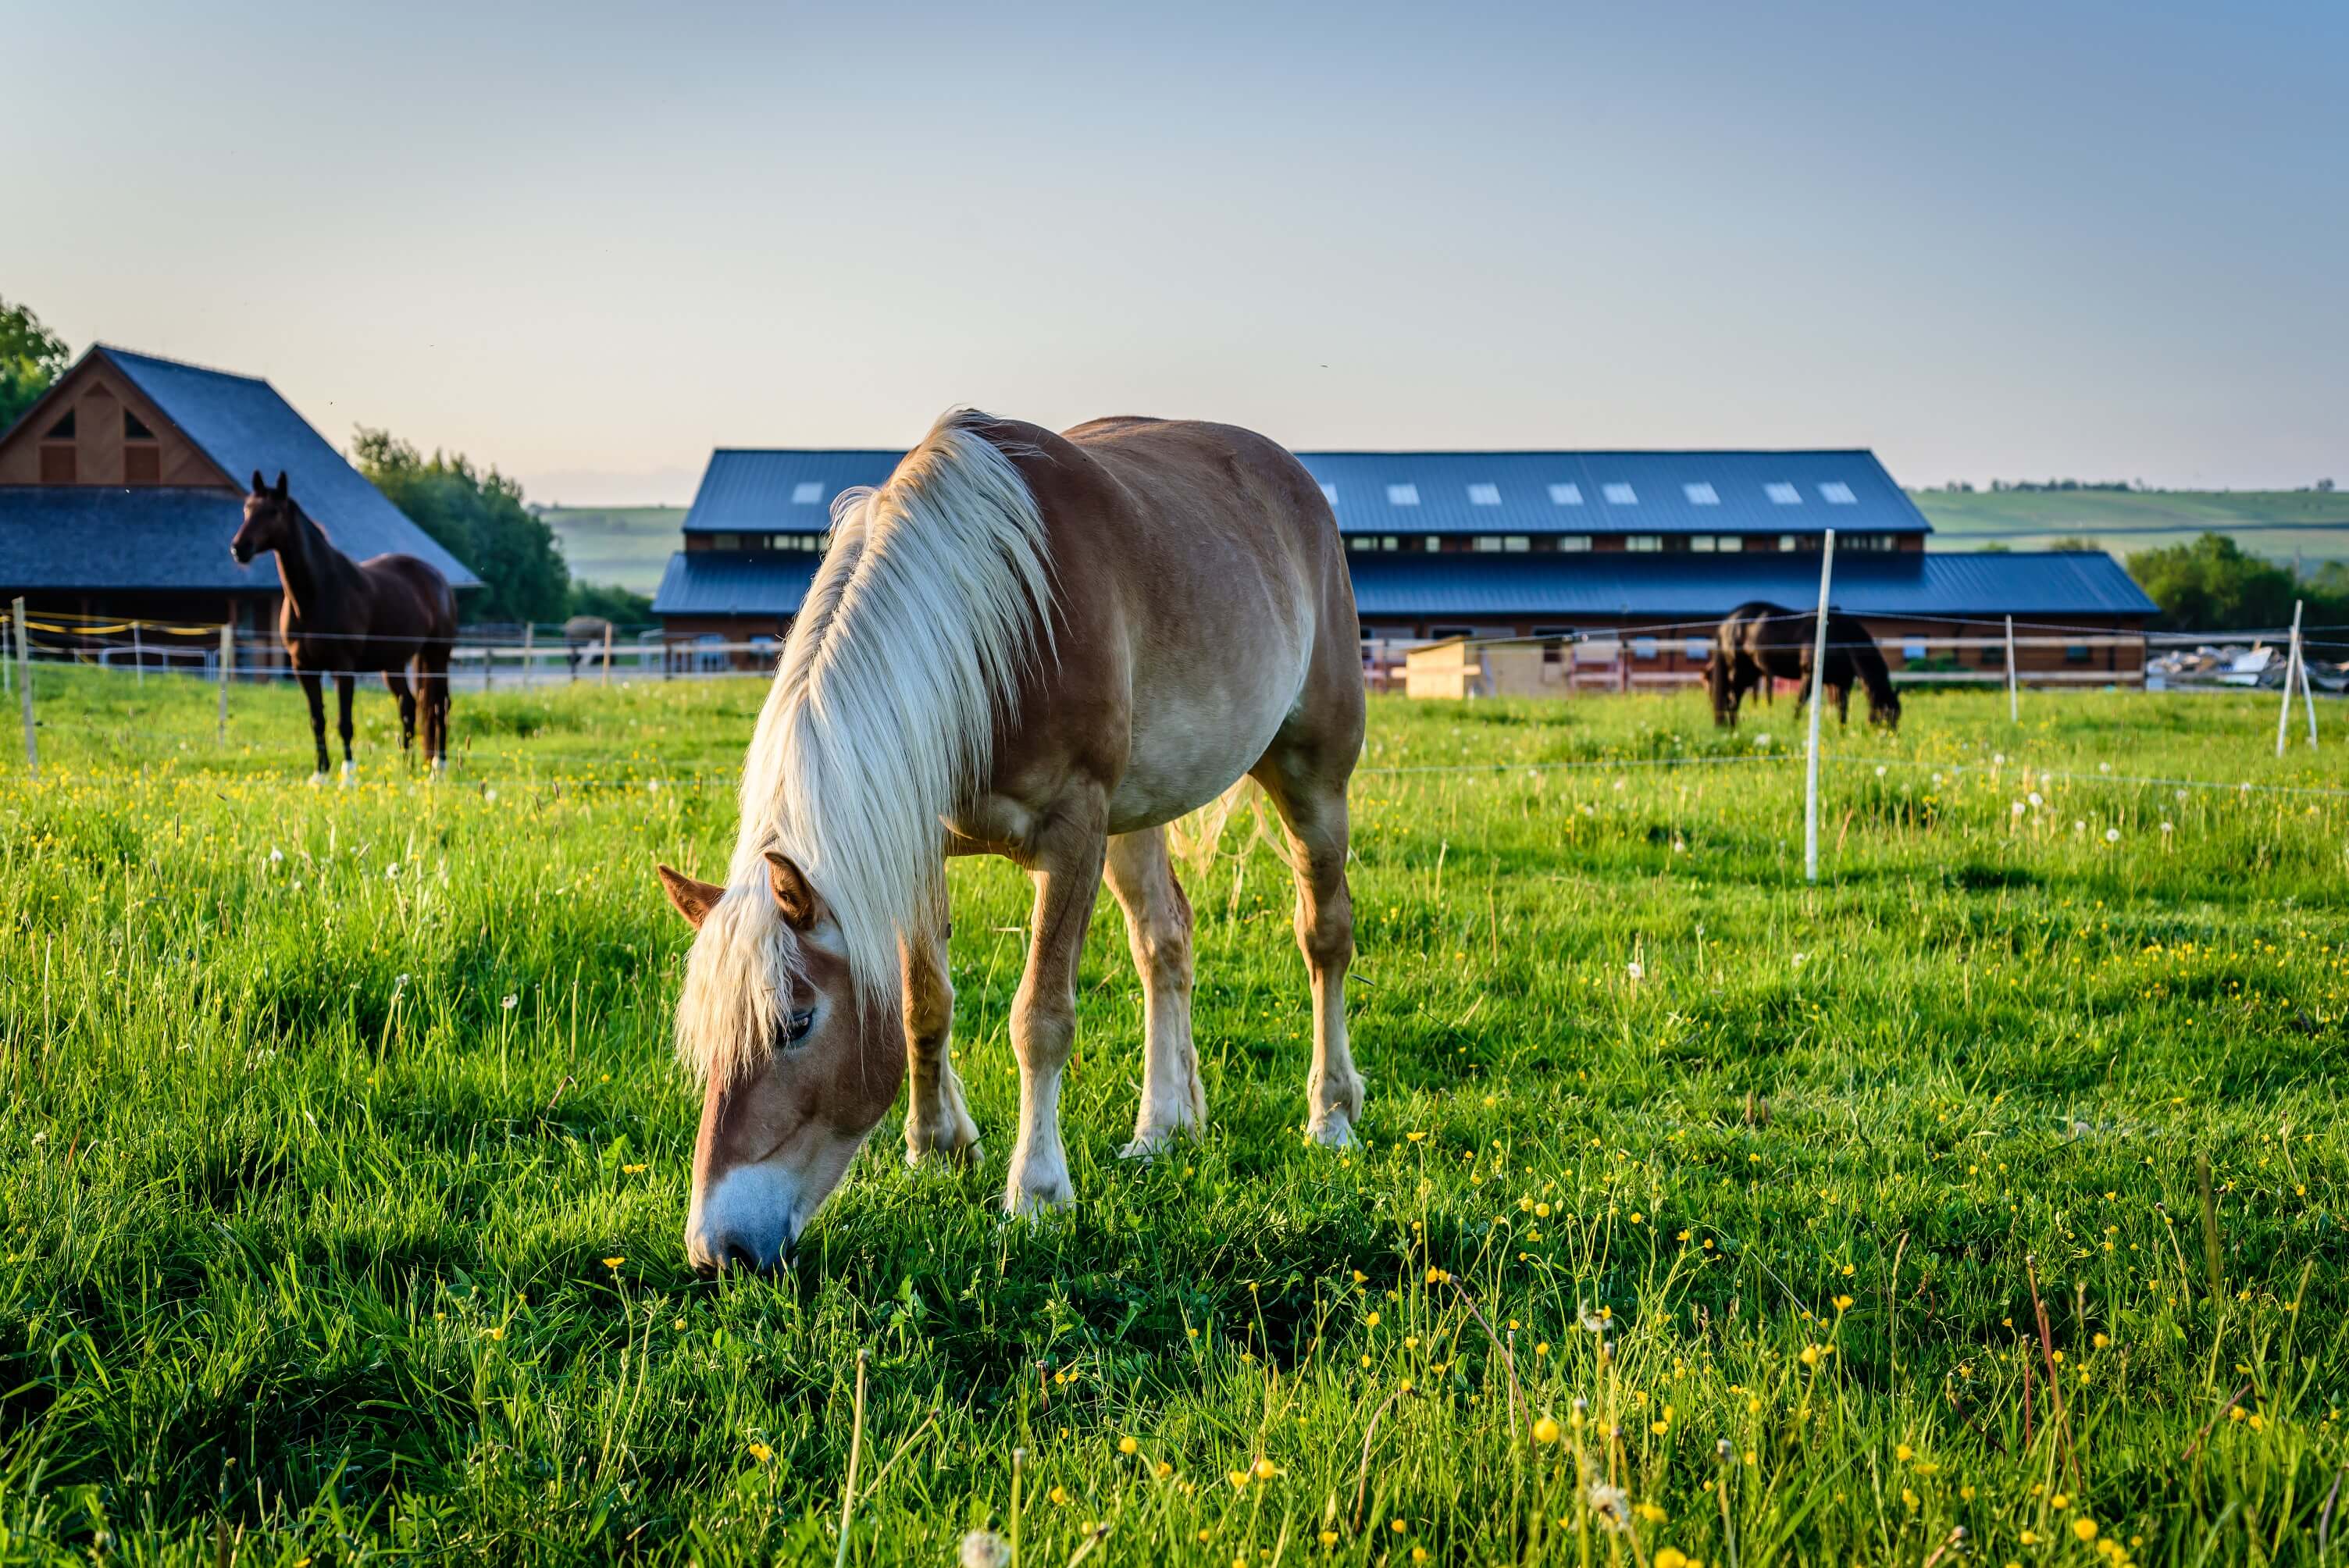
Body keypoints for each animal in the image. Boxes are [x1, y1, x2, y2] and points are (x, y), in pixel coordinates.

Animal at [232, 469, 458, 779]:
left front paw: (347, 775)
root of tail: (438, 579)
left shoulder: (343, 667)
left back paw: (438, 767)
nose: (239, 548)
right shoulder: (304, 668)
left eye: (273, 512)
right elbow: (317, 720)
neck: (315, 595)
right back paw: (406, 768)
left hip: (437, 656)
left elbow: (344, 723)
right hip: (393, 663)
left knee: (439, 707)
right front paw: (321, 774)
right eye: (247, 508)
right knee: (409, 706)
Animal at [653, 411, 1371, 1267]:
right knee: (1163, 943)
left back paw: (1331, 1117)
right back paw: (1160, 1130)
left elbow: (1040, 1018)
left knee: (1324, 936)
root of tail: (1292, 482)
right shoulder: (917, 845)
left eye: (795, 1024)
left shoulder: (1073, 834)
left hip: (1312, 779)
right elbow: (923, 1006)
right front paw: (935, 1147)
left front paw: (1036, 1193)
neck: (990, 623)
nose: (717, 1249)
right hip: (1139, 815)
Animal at [1719, 596, 1898, 732]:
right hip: (1739, 671)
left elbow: (1842, 710)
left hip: (1751, 673)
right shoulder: (1810, 676)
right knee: (1732, 700)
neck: (1839, 636)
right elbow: (1799, 704)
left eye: (1898, 715)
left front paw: (1842, 733)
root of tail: (1728, 621)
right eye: (1887, 714)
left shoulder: (1842, 684)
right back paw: (1733, 729)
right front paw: (1793, 728)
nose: (1890, 737)